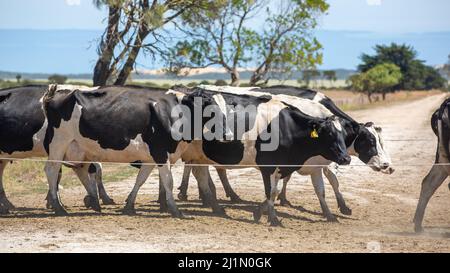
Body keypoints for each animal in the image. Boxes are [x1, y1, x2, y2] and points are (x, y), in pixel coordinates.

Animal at [178, 85, 392, 221]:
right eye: (370, 141)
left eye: (381, 141)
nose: (388, 166)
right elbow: (331, 179)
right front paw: (343, 207)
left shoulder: (311, 163)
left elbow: (320, 186)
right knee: (196, 170)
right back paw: (189, 193)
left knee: (205, 171)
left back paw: (218, 197)